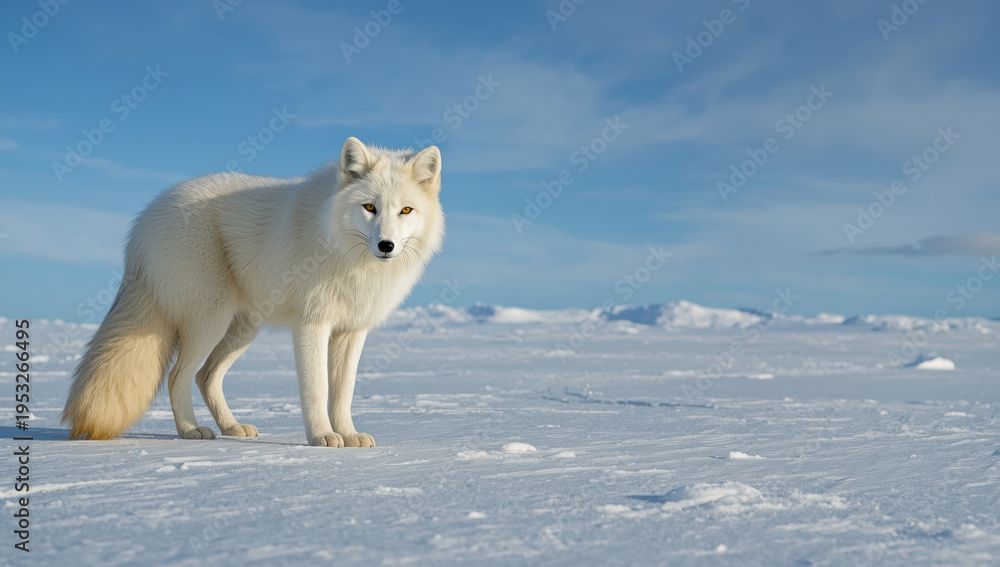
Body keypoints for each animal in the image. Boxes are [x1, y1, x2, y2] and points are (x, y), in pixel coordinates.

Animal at [62, 137, 445, 447]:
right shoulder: (311, 324)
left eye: (405, 210)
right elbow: (317, 388)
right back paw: (190, 430)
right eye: (369, 207)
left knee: (205, 376)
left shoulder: (352, 330)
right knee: (177, 376)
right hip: (209, 321)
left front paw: (348, 435)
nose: (386, 245)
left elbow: (343, 392)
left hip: (243, 330)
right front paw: (322, 436)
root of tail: (142, 223)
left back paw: (231, 428)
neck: (341, 247)